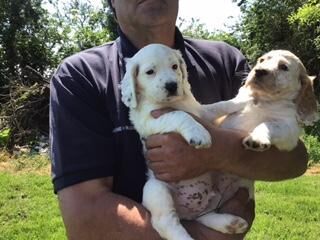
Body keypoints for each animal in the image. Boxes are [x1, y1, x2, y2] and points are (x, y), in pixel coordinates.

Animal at [121, 44, 249, 240]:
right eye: (150, 72)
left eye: (175, 66)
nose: (172, 86)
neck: (176, 101)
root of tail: (190, 210)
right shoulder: (150, 121)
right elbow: (178, 114)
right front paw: (199, 134)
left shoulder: (202, 112)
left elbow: (219, 105)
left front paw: (243, 100)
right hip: (156, 188)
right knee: (167, 223)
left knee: (205, 215)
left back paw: (230, 223)